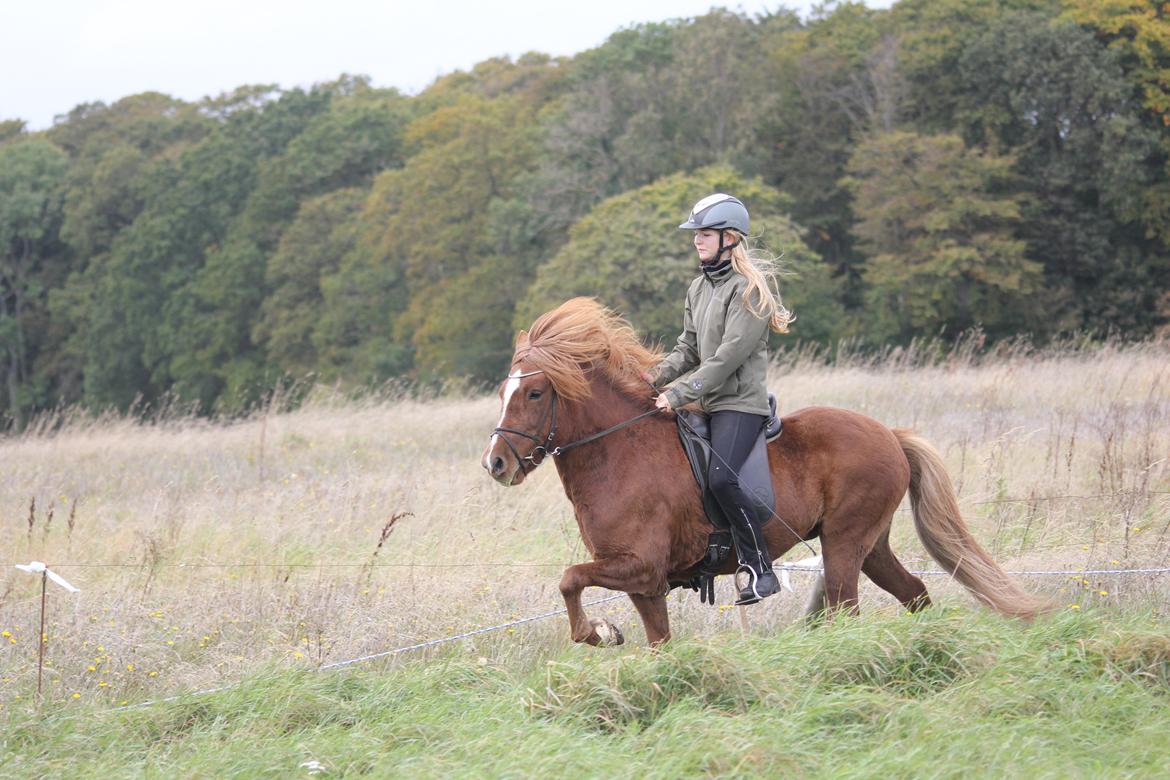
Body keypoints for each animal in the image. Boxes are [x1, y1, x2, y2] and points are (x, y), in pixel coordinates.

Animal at [479, 299, 1048, 645]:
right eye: (504, 390)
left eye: (535, 393)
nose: (496, 463)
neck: (619, 451)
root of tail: (888, 434)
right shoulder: (647, 585)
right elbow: (656, 641)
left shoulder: (639, 566)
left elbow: (569, 578)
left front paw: (597, 633)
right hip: (871, 545)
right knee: (914, 594)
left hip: (844, 543)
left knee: (846, 609)